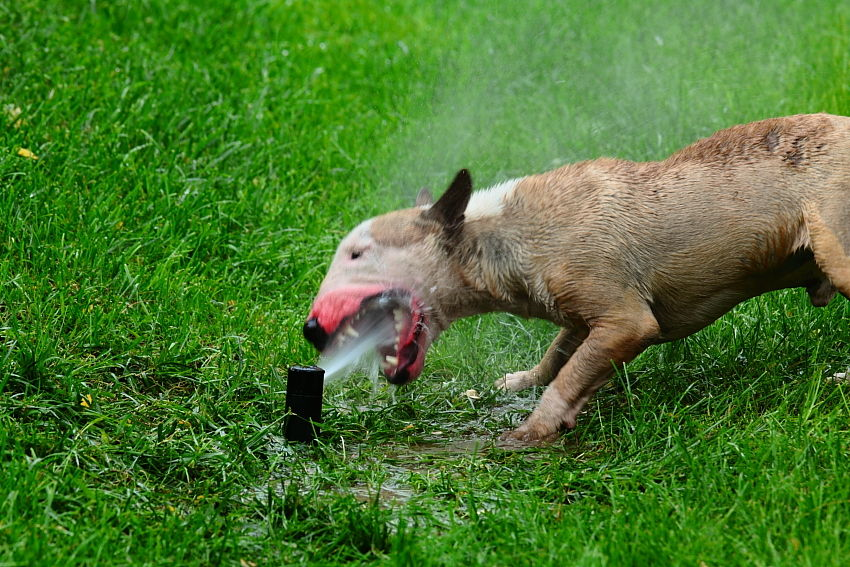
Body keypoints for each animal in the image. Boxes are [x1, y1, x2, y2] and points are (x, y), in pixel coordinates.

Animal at [304, 114, 848, 444]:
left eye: (357, 253)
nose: (311, 330)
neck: (502, 233)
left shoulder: (627, 321)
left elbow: (570, 376)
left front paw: (531, 430)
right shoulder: (580, 314)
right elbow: (559, 354)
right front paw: (519, 381)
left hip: (836, 247)